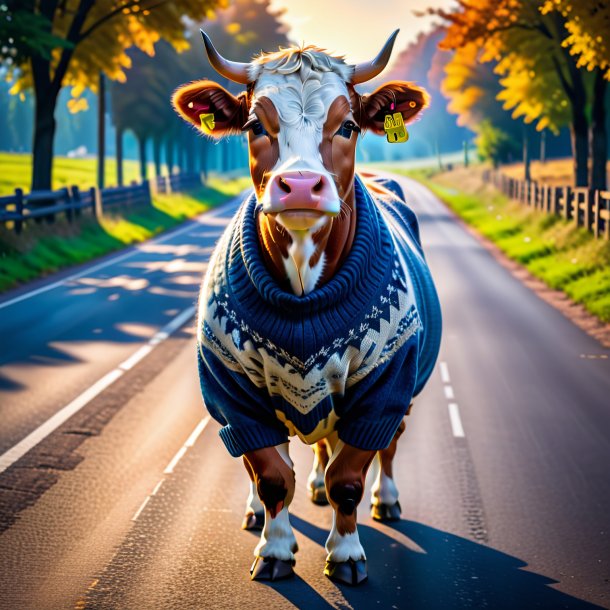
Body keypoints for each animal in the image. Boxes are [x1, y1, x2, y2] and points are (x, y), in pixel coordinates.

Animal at [173, 29, 440, 584]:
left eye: (348, 125)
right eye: (255, 125)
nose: (298, 185)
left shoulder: (385, 386)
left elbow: (349, 478)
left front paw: (347, 553)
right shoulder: (232, 390)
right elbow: (272, 474)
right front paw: (274, 549)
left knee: (386, 446)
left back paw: (388, 499)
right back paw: (262, 509)